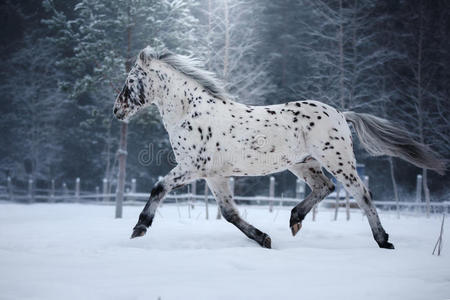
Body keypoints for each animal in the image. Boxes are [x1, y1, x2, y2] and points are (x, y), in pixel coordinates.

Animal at [113, 46, 446, 248]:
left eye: (131, 80)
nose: (117, 110)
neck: (190, 112)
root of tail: (341, 113)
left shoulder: (192, 168)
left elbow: (159, 187)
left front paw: (139, 228)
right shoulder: (214, 175)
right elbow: (229, 213)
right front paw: (263, 239)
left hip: (338, 160)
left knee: (361, 194)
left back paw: (383, 240)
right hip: (304, 163)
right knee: (325, 188)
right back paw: (295, 219)